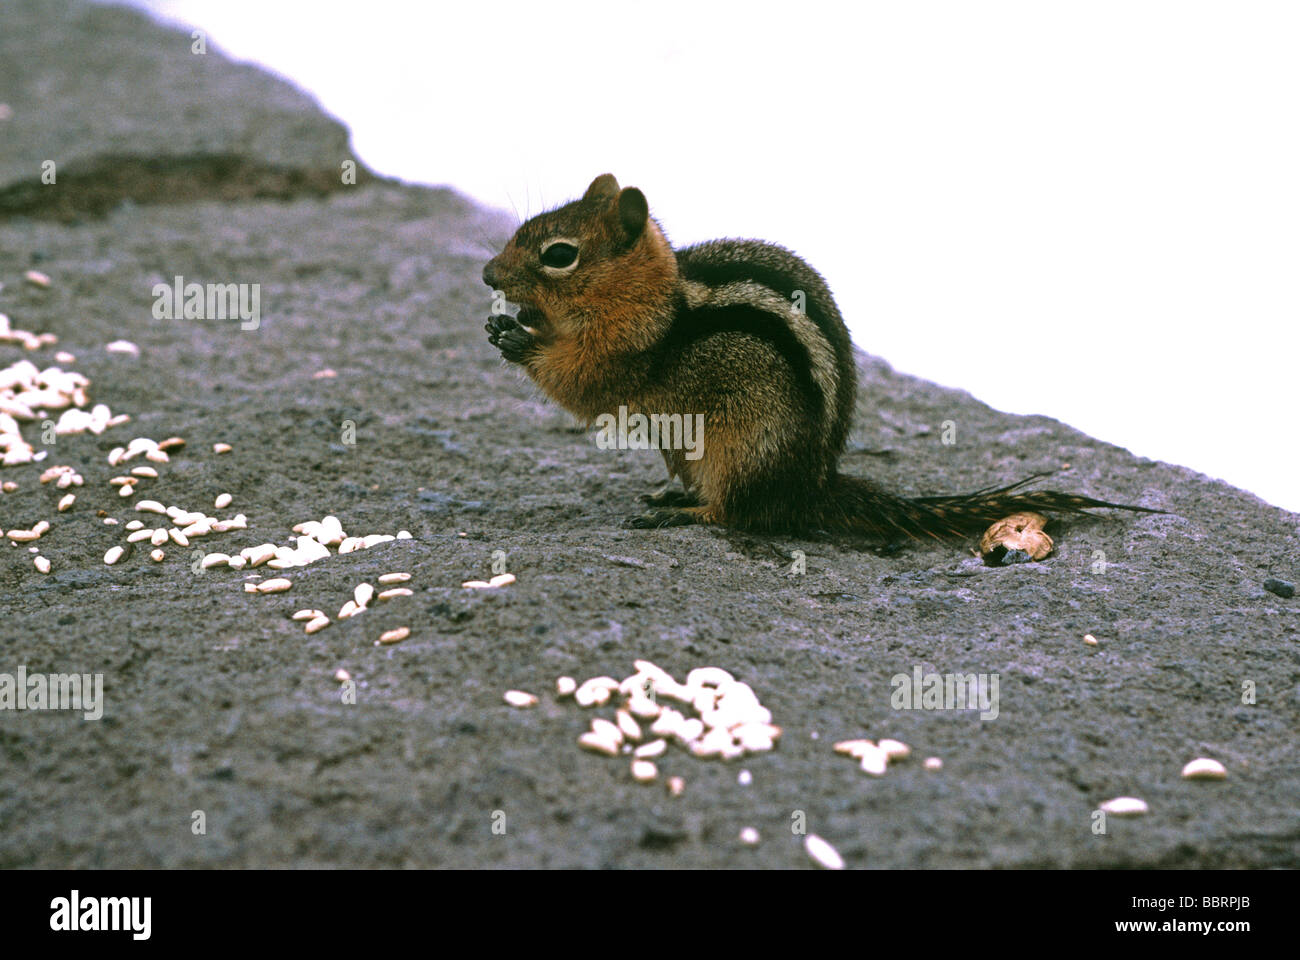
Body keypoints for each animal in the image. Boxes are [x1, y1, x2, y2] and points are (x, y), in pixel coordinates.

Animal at [483, 171, 1164, 538]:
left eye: (559, 254)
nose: (488, 275)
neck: (656, 296)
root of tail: (813, 485)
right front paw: (509, 323)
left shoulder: (624, 350)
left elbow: (583, 381)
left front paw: (520, 340)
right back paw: (672, 498)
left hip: (739, 452)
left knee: (738, 516)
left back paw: (685, 515)